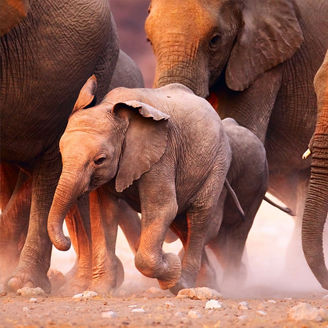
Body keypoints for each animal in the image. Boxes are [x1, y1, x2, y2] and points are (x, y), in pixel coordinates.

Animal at [48, 80, 232, 290]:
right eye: (61, 153)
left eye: (100, 160)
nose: (66, 241)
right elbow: (103, 212)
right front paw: (100, 289)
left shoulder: (162, 154)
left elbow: (162, 208)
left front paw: (171, 266)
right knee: (181, 222)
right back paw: (205, 283)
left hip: (218, 163)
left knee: (199, 215)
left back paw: (183, 283)